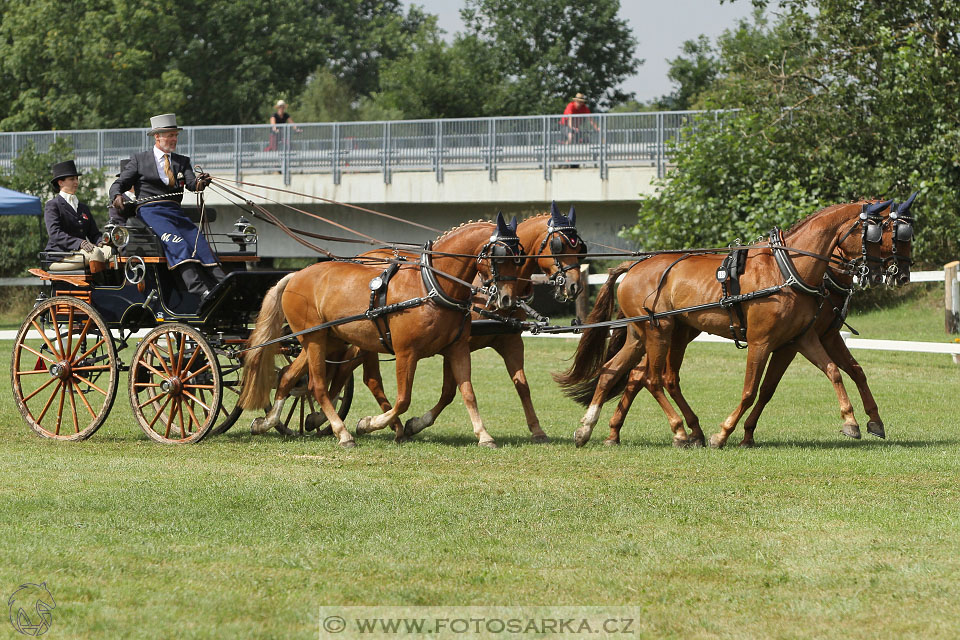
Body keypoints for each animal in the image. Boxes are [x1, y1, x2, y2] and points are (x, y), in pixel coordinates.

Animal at [240, 214, 524, 444]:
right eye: (500, 255)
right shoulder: (406, 352)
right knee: (318, 386)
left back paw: (268, 422)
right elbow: (403, 399)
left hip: (327, 340)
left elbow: (467, 393)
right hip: (315, 339)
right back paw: (342, 433)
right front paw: (370, 423)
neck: (432, 285)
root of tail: (295, 276)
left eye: (519, 258)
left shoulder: (457, 348)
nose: (507, 299)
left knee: (289, 376)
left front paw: (483, 435)